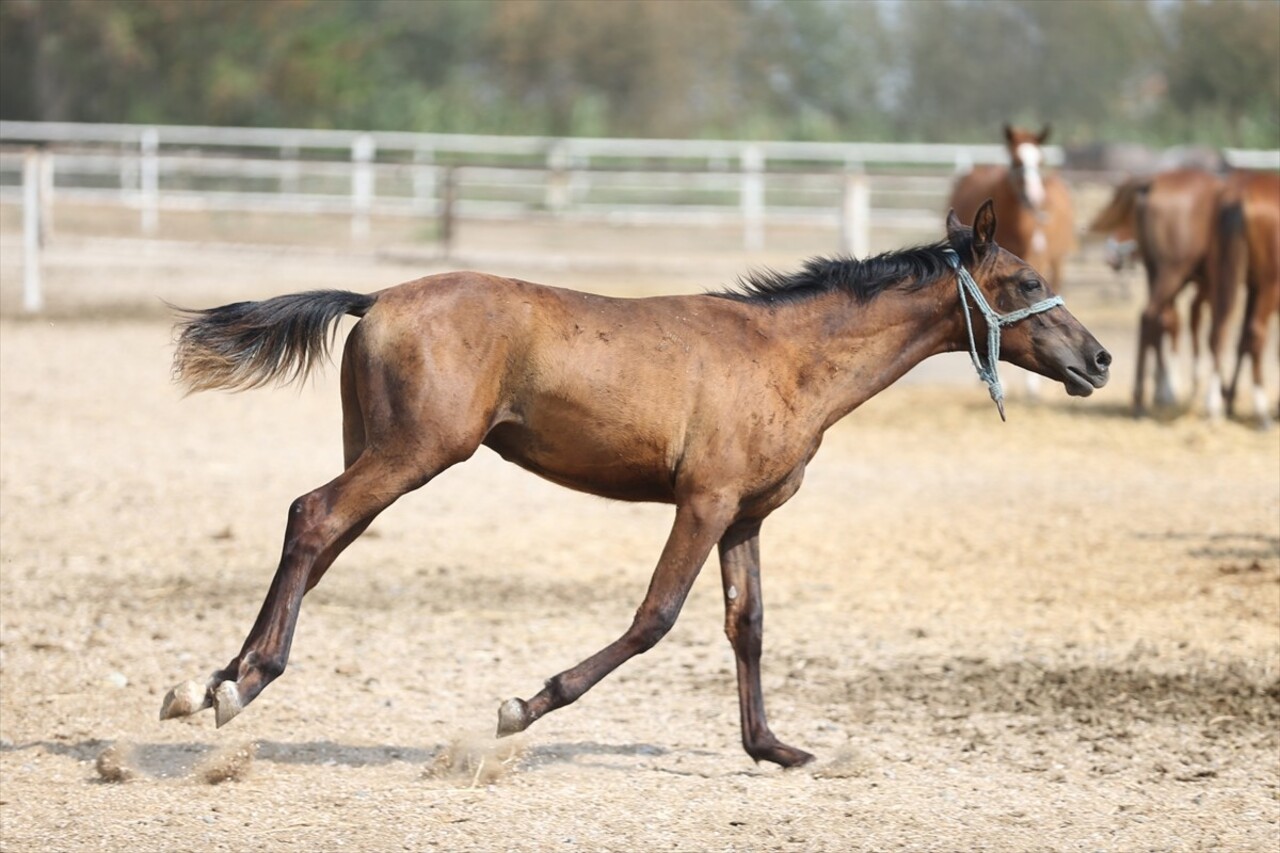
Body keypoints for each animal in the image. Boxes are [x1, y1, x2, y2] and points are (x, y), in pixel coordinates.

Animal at [160, 202, 1111, 768]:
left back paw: (211, 682)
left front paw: (774, 747)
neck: (785, 356)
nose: (1098, 359)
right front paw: (523, 706)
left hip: (382, 448)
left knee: (314, 536)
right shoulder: (704, 502)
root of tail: (377, 297)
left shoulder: (746, 516)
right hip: (414, 453)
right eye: (1028, 282)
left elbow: (747, 625)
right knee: (314, 517)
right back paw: (238, 685)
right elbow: (656, 616)